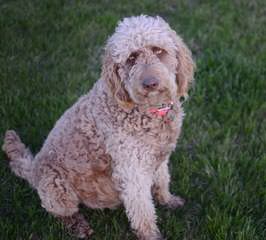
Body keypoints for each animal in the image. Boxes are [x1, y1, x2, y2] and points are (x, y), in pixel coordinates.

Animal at [2, 15, 195, 239]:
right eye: (131, 58)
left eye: (158, 50)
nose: (150, 84)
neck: (148, 112)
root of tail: (32, 169)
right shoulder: (132, 171)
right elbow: (142, 211)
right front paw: (151, 235)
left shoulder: (159, 157)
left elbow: (163, 180)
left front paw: (168, 200)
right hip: (57, 189)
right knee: (61, 213)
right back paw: (79, 226)